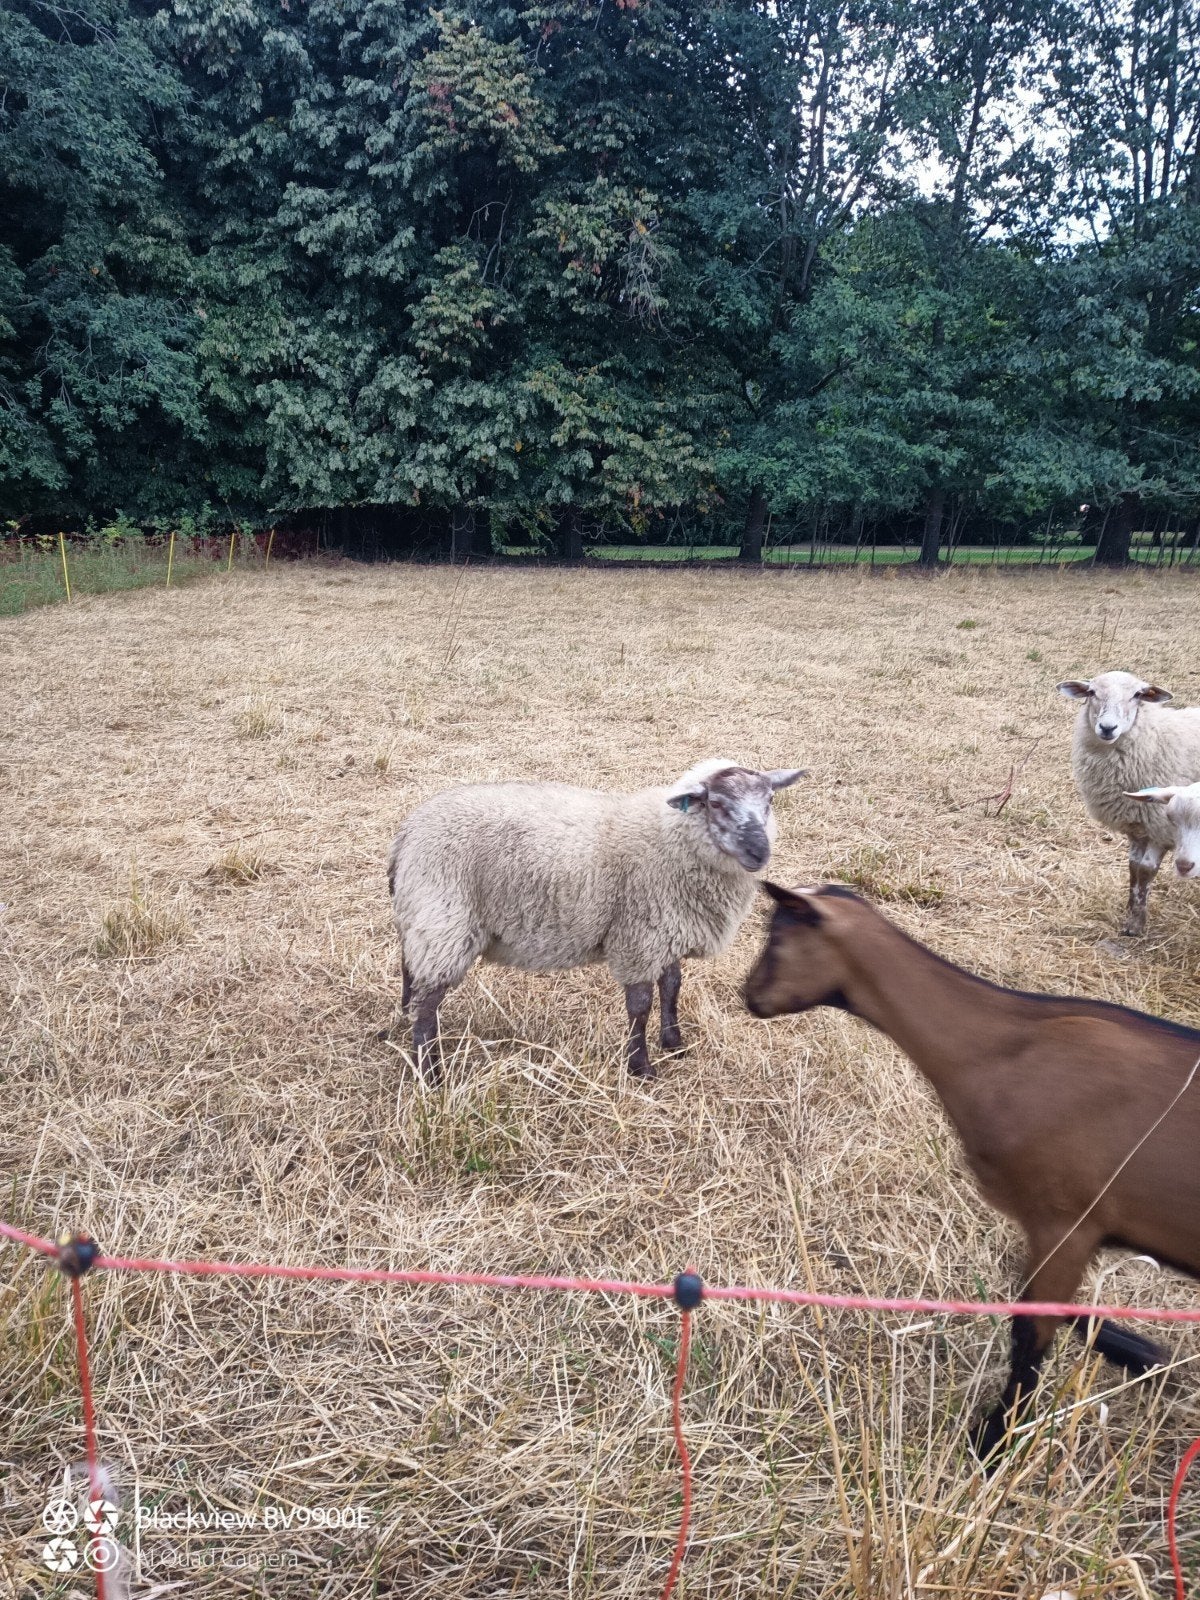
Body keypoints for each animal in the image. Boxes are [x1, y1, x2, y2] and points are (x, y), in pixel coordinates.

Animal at [386, 759, 805, 1079]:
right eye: (715, 803)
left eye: (770, 800)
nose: (759, 852)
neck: (667, 836)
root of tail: (408, 831)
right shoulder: (640, 937)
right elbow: (640, 1005)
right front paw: (641, 1067)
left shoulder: (668, 930)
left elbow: (672, 986)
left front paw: (674, 1043)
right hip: (445, 917)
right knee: (428, 1003)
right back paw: (430, 1073)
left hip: (424, 917)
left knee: (411, 973)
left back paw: (406, 1022)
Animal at [743, 881, 1200, 1466]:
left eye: (777, 937)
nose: (749, 995)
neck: (1002, 1049)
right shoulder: (1067, 1231)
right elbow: (1046, 1304)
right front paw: (1147, 1355)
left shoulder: (1065, 1220)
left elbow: (1030, 1330)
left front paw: (993, 1440)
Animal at [1057, 671, 1200, 934]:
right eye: (1091, 692)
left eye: (1137, 695)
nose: (1107, 727)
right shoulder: (1137, 826)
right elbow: (1133, 866)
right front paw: (1130, 909)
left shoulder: (1160, 826)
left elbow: (1146, 869)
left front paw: (1135, 925)